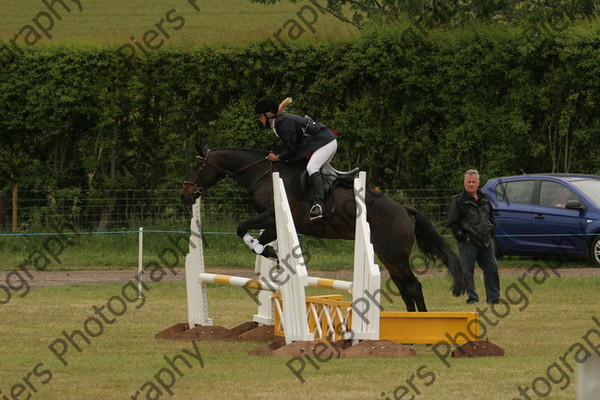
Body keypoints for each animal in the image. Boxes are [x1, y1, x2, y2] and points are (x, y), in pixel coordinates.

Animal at [180, 145, 466, 310]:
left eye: (196, 166)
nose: (185, 195)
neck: (263, 174)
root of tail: (404, 210)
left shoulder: (272, 216)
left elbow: (242, 228)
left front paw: (268, 252)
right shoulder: (274, 222)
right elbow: (257, 240)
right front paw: (270, 254)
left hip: (394, 255)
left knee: (413, 287)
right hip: (388, 257)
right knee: (406, 288)